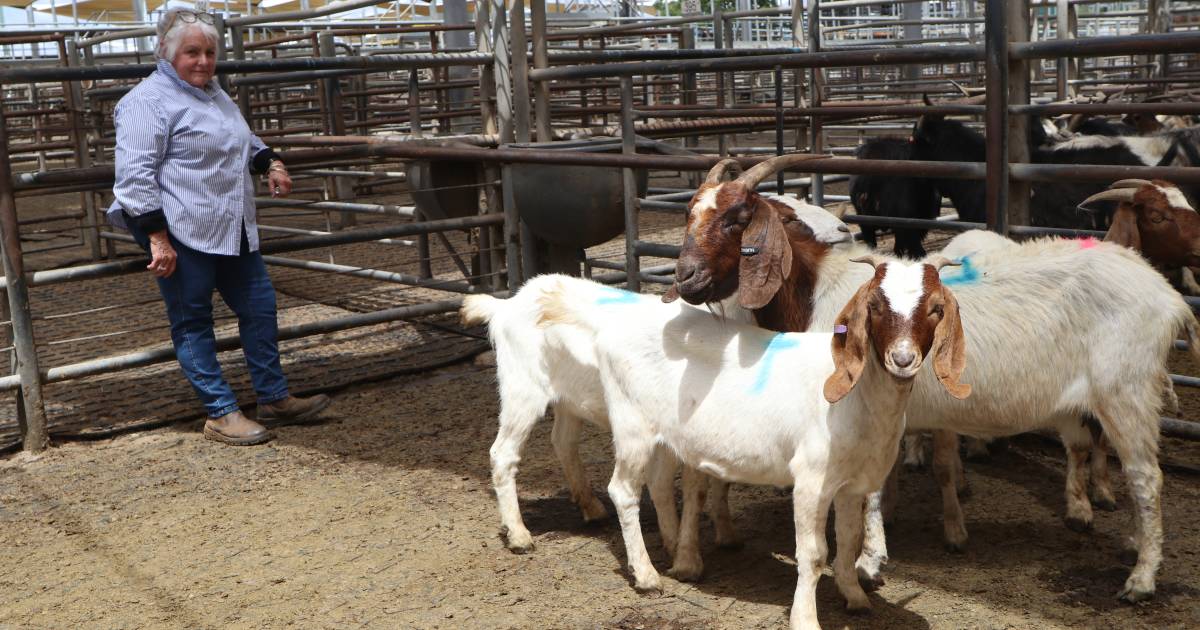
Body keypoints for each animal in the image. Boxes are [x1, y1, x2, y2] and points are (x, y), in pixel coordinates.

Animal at [535, 262, 974, 624]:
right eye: (877, 307)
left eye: (935, 309)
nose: (902, 359)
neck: (860, 398)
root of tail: (615, 324)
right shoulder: (811, 480)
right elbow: (814, 553)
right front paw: (805, 618)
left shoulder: (852, 483)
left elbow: (848, 541)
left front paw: (854, 596)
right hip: (632, 425)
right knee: (623, 491)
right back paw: (646, 575)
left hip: (665, 437)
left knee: (659, 486)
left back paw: (678, 555)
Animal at [667, 154, 1200, 602]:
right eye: (689, 213)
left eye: (737, 218)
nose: (685, 277)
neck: (817, 293)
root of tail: (1167, 296)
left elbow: (869, 492)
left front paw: (868, 562)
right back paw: (1134, 543)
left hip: (1126, 391)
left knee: (1147, 477)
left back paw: (1141, 580)